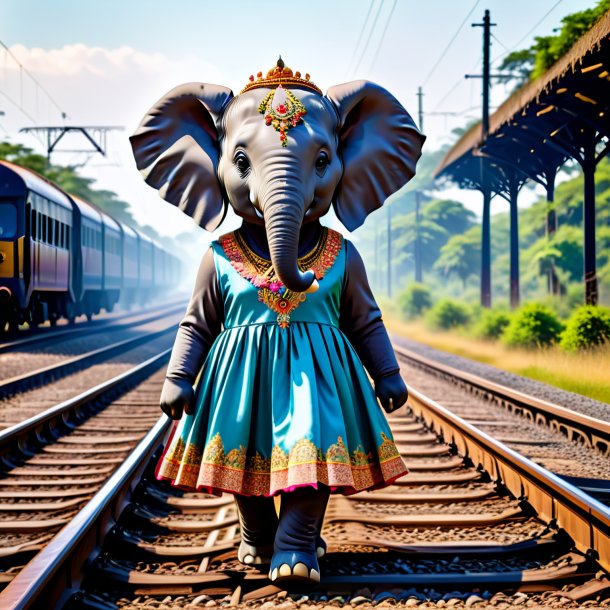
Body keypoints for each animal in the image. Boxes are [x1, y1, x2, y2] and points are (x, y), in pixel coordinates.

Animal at [129, 58, 422, 584]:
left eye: (324, 160)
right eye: (240, 161)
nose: (304, 277)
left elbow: (365, 318)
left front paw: (294, 572)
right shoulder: (206, 270)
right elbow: (197, 321)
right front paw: (174, 399)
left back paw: (299, 556)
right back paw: (253, 555)